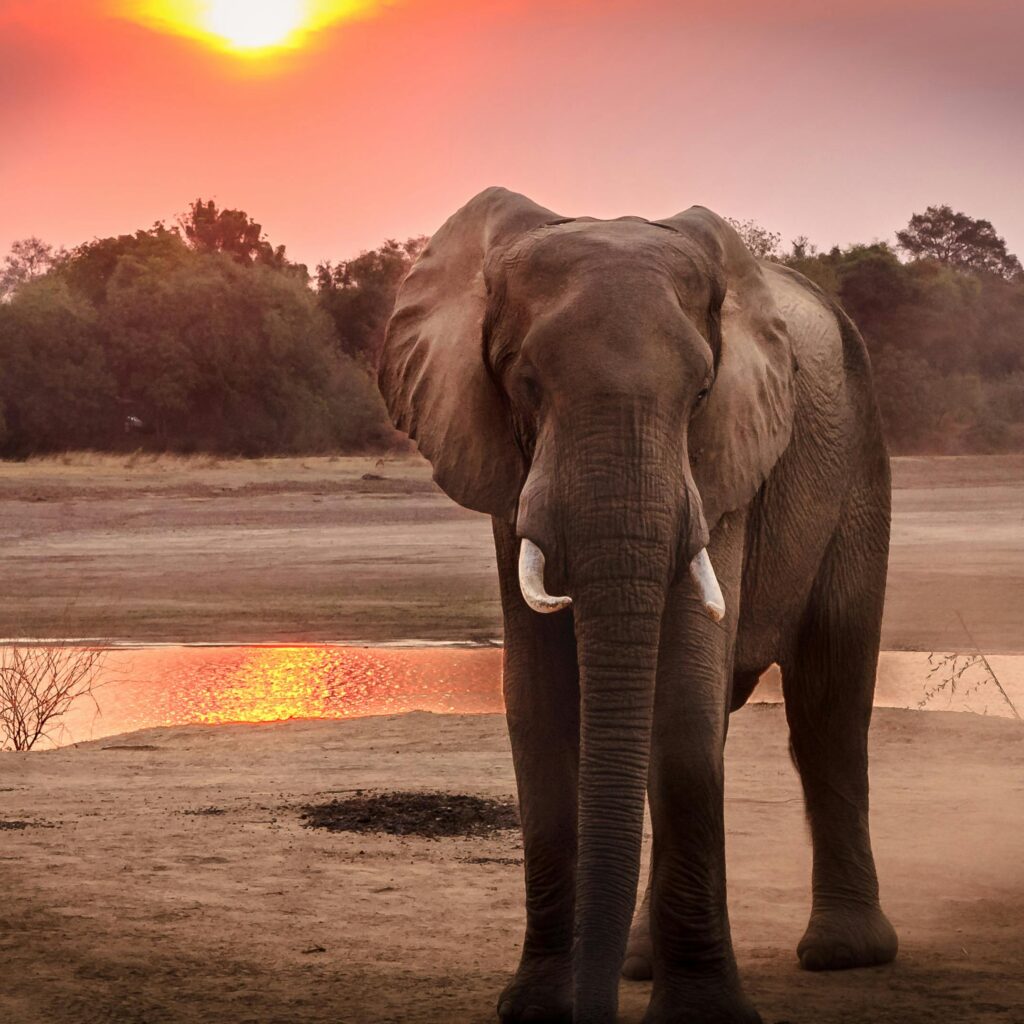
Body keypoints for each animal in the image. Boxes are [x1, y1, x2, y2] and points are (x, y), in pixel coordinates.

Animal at [376, 186, 897, 1024]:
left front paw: (702, 1016)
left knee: (829, 703)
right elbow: (539, 701)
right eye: (524, 384)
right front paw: (538, 1007)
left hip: (859, 460)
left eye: (702, 393)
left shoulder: (723, 462)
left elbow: (682, 697)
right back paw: (642, 963)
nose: (592, 1009)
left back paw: (842, 955)